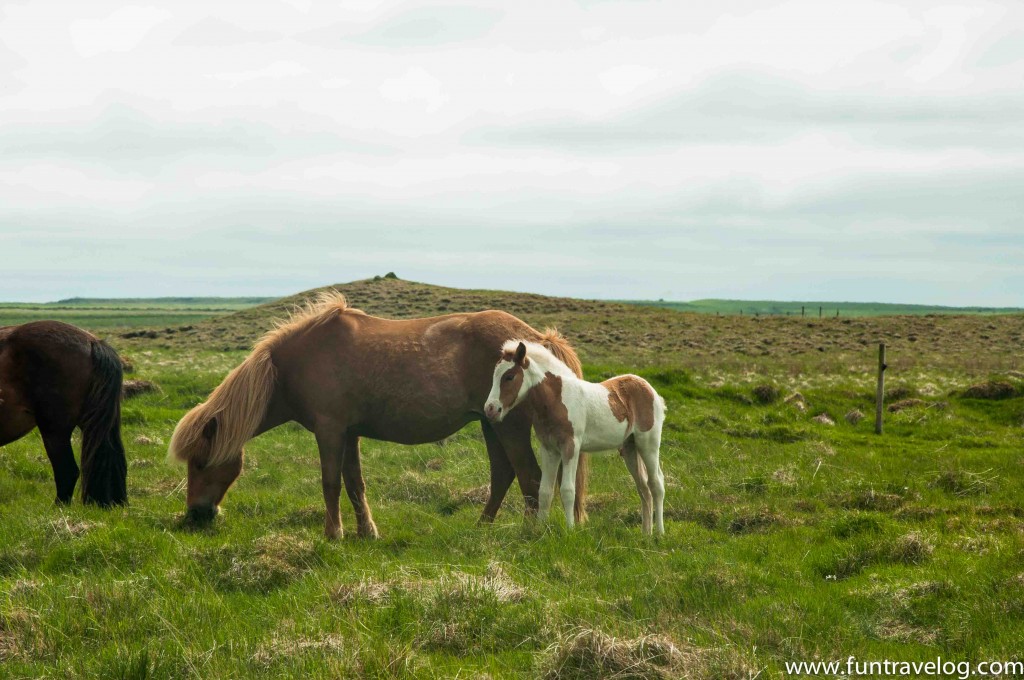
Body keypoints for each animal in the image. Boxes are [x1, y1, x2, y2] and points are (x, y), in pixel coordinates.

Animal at [165, 292, 585, 536]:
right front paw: (366, 531)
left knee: (529, 477)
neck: (294, 364)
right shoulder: (348, 433)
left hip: (509, 427)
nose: (197, 515)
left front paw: (332, 535)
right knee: (503, 475)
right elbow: (354, 483)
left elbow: (330, 483)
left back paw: (528, 534)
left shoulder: (330, 431)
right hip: (490, 422)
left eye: (200, 462)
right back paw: (482, 527)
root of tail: (535, 339)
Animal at [485, 342, 667, 532]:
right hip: (630, 448)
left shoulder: (570, 446)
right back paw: (646, 533)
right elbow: (545, 490)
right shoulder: (549, 449)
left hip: (649, 444)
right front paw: (541, 530)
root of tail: (650, 389)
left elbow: (567, 490)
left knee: (656, 484)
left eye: (509, 377)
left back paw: (659, 533)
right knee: (643, 487)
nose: (490, 409)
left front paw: (570, 530)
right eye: (494, 375)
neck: (557, 400)